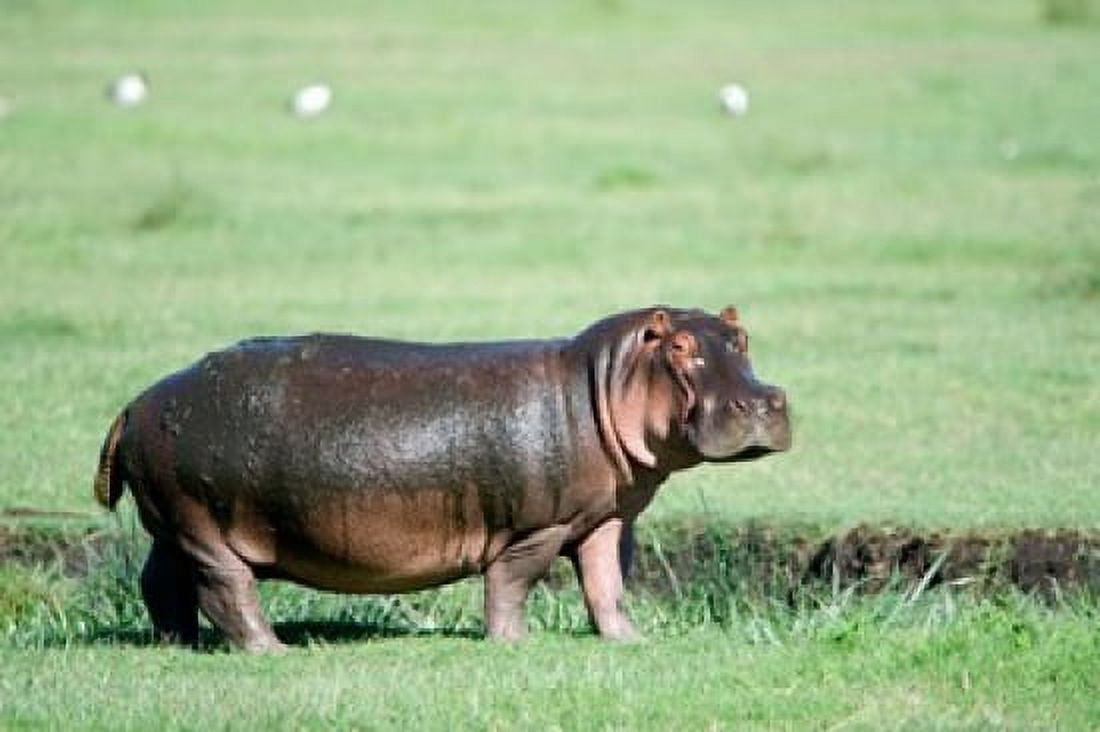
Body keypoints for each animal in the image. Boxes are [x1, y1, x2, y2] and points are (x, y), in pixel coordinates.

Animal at [94, 306, 790, 651]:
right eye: (679, 349)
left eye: (742, 337)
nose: (765, 400)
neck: (599, 381)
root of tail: (136, 402)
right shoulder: (538, 526)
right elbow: (512, 584)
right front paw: (513, 645)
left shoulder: (605, 518)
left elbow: (605, 585)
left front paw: (630, 641)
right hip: (206, 528)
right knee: (226, 589)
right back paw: (272, 651)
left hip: (174, 527)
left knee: (162, 582)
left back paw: (175, 646)